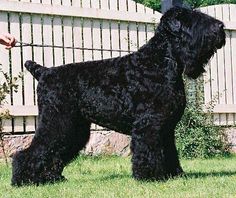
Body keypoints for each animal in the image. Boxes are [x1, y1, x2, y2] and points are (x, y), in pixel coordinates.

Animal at [11, 7, 225, 186]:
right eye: (190, 19)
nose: (221, 27)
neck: (159, 61)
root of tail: (45, 72)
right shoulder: (149, 125)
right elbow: (149, 151)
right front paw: (150, 177)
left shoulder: (165, 127)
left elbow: (169, 152)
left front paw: (174, 175)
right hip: (56, 122)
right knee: (31, 151)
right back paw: (22, 180)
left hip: (73, 127)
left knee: (54, 151)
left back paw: (51, 177)